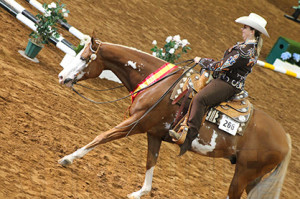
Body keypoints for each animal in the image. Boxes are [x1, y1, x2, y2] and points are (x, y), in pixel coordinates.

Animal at [56, 37, 290, 199]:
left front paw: (67, 158)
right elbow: (151, 161)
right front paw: (140, 192)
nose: (62, 77)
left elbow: (103, 136)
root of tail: (285, 140)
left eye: (84, 58)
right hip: (253, 178)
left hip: (243, 173)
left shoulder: (135, 124)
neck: (159, 84)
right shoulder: (154, 134)